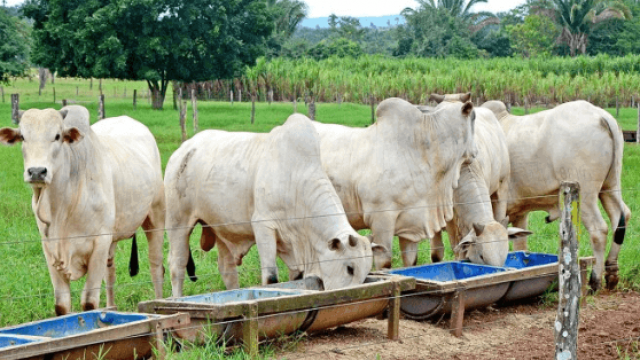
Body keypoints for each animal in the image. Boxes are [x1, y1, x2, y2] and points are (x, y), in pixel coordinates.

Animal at [0, 106, 165, 316]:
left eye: (57, 136)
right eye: (22, 136)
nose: (37, 172)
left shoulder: (100, 242)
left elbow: (89, 303)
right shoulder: (49, 248)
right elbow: (61, 306)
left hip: (156, 216)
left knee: (156, 265)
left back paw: (159, 301)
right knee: (110, 271)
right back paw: (111, 306)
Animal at [166, 113, 384, 296]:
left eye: (366, 272)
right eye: (350, 268)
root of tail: (183, 150)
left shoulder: (290, 244)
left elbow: (295, 278)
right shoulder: (263, 226)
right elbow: (271, 278)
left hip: (221, 228)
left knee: (226, 268)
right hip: (178, 224)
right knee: (177, 266)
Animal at [312, 97, 478, 268]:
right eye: (473, 118)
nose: (476, 151)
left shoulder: (411, 224)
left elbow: (411, 262)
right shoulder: (380, 220)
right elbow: (385, 262)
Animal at [482, 100, 632, 292]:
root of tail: (601, 116)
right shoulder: (519, 213)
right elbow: (519, 246)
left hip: (586, 195)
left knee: (599, 229)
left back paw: (595, 279)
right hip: (610, 186)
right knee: (621, 218)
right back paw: (612, 272)